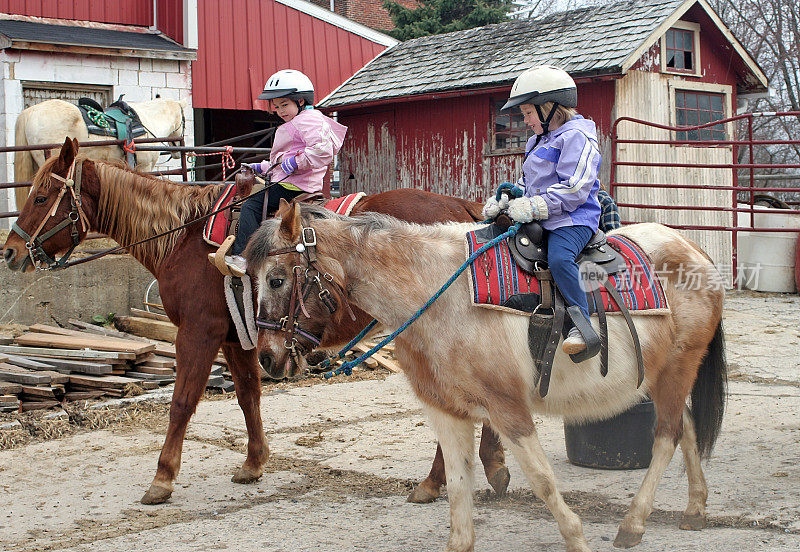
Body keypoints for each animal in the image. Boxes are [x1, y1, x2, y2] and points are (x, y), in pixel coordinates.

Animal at [0, 138, 510, 504]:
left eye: (41, 196)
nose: (10, 251)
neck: (184, 235)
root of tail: (464, 212)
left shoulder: (198, 332)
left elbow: (182, 402)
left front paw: (162, 478)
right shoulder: (236, 337)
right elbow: (248, 396)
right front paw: (254, 462)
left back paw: (438, 479)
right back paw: (491, 463)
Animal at [250, 203, 732, 552]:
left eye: (275, 280)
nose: (268, 358)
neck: (439, 295)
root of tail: (693, 250)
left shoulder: (506, 408)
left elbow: (541, 479)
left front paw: (576, 538)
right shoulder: (447, 412)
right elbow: (458, 487)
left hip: (678, 368)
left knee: (667, 435)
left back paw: (633, 524)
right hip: (666, 374)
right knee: (687, 427)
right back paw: (694, 510)